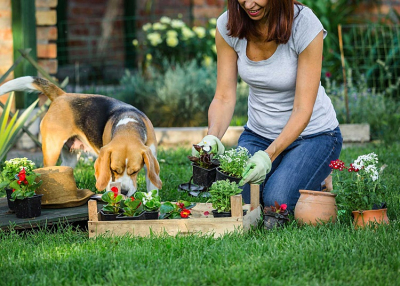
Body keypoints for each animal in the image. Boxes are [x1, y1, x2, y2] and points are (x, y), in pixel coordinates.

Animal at [0, 76, 162, 197]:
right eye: (114, 170)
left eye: (135, 171)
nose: (123, 191)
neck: (129, 125)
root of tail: (62, 95)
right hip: (52, 152)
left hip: (69, 159)